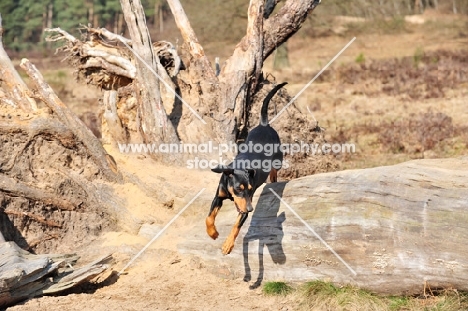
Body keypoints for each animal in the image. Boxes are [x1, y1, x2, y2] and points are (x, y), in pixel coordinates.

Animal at [207, 83, 288, 256]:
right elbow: (209, 218)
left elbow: (236, 226)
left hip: (278, 159)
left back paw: (273, 180)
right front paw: (213, 233)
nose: (251, 209)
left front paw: (228, 244)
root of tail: (264, 125)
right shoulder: (219, 196)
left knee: (274, 171)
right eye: (239, 188)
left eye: (251, 189)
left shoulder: (243, 208)